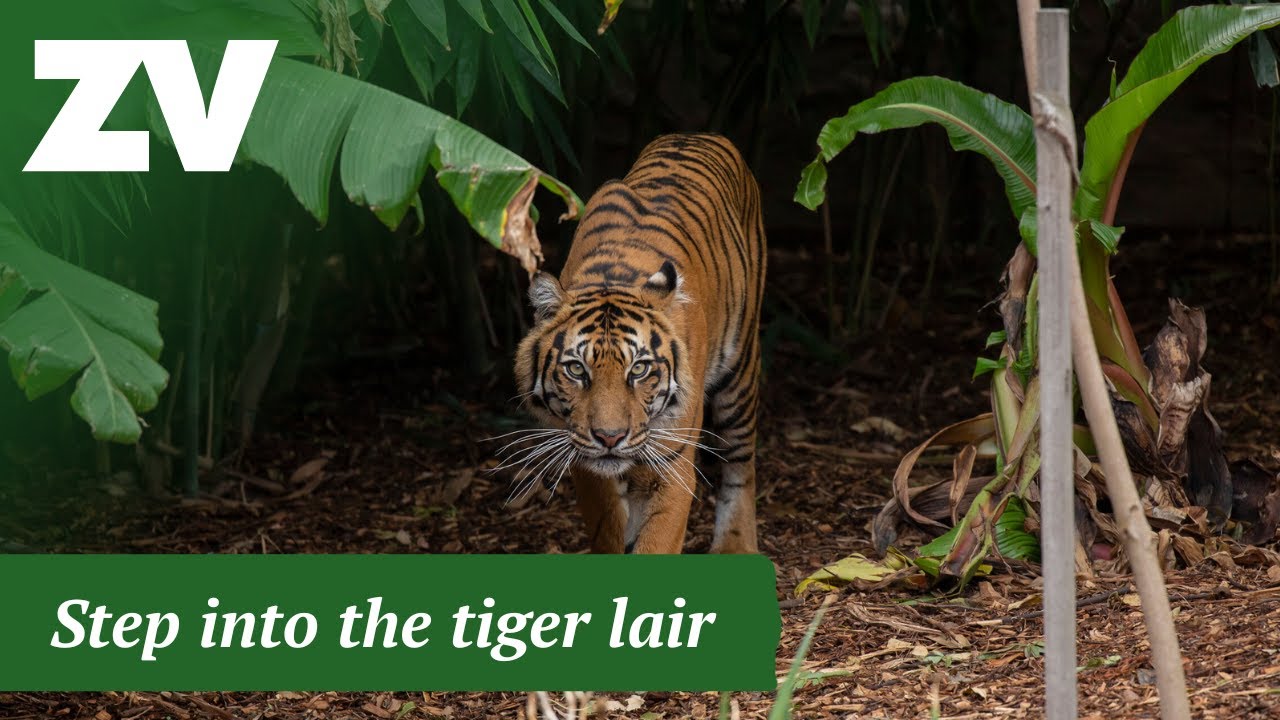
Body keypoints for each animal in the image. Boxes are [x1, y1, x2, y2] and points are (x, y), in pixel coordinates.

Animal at [512, 133, 766, 555]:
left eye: (640, 369)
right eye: (576, 369)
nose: (610, 438)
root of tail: (698, 134)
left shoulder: (671, 460)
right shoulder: (584, 459)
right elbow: (609, 527)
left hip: (740, 370)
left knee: (740, 462)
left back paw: (734, 545)